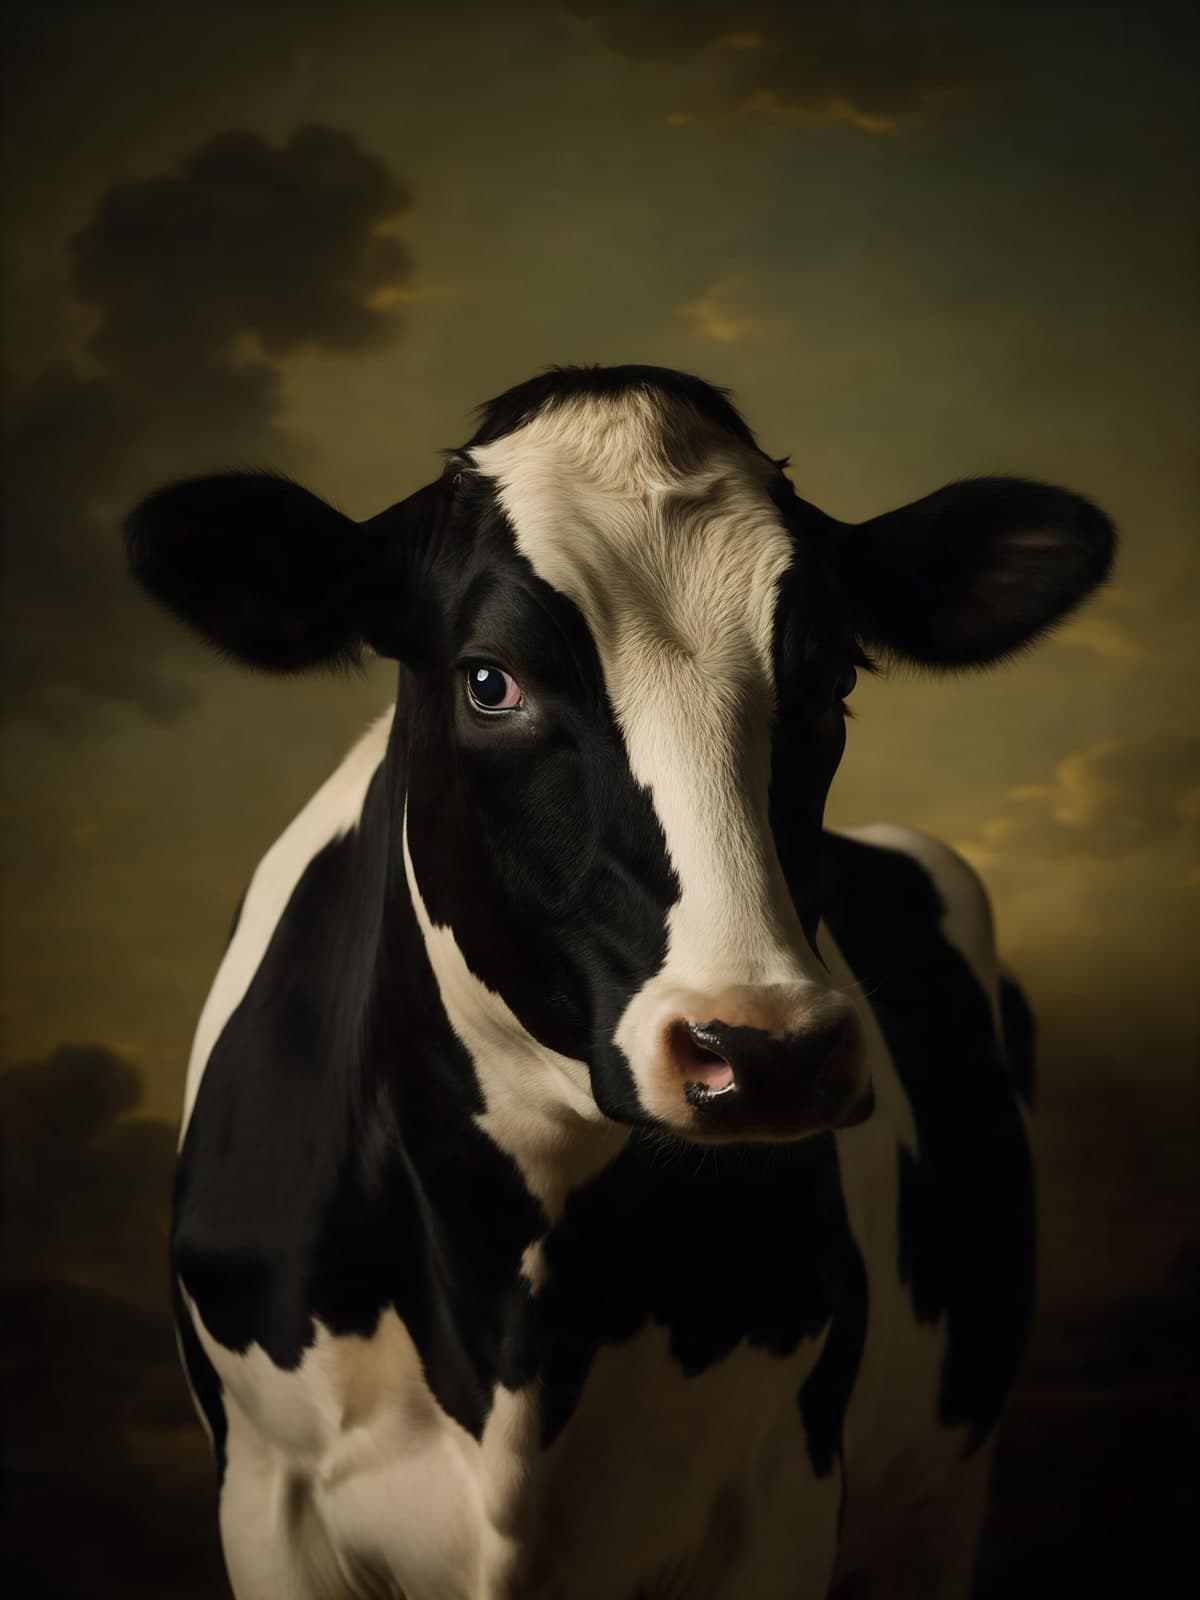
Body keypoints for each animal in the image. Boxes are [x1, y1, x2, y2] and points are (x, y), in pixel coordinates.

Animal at [126, 365, 1114, 1600]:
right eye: (489, 681)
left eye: (833, 675)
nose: (767, 1049)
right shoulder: (269, 1498)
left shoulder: (784, 1492)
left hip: (940, 1502)